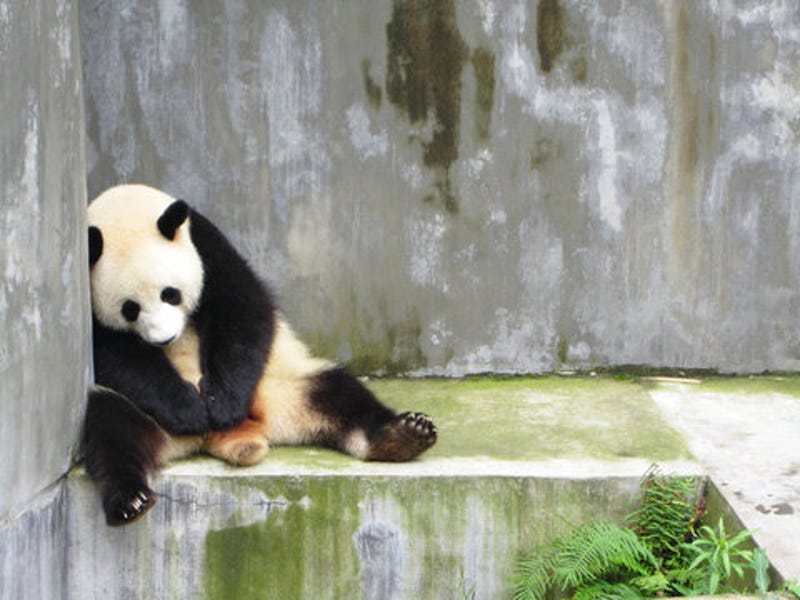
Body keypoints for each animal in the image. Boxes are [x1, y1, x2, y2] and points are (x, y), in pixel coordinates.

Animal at [84, 184, 437, 526]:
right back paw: (131, 499)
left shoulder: (208, 247)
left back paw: (402, 435)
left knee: (339, 391)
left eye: (170, 294)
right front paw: (189, 410)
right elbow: (115, 355)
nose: (165, 338)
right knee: (110, 429)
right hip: (149, 416)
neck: (127, 205)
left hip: (282, 385)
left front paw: (220, 405)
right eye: (130, 309)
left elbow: (242, 312)